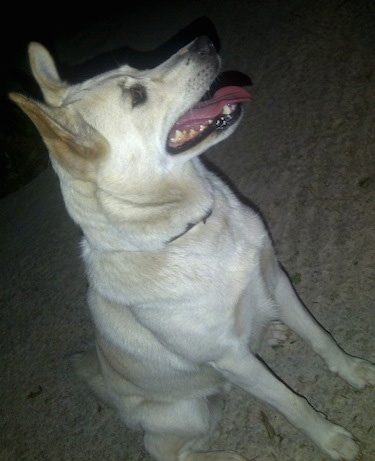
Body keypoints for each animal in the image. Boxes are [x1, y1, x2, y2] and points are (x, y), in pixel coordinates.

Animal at [10, 36, 374, 460]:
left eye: (135, 68)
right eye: (136, 96)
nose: (203, 43)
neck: (191, 230)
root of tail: (113, 395)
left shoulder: (277, 279)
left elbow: (320, 338)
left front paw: (352, 369)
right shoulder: (230, 359)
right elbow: (291, 403)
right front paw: (330, 438)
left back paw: (270, 331)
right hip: (190, 411)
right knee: (168, 450)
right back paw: (227, 455)